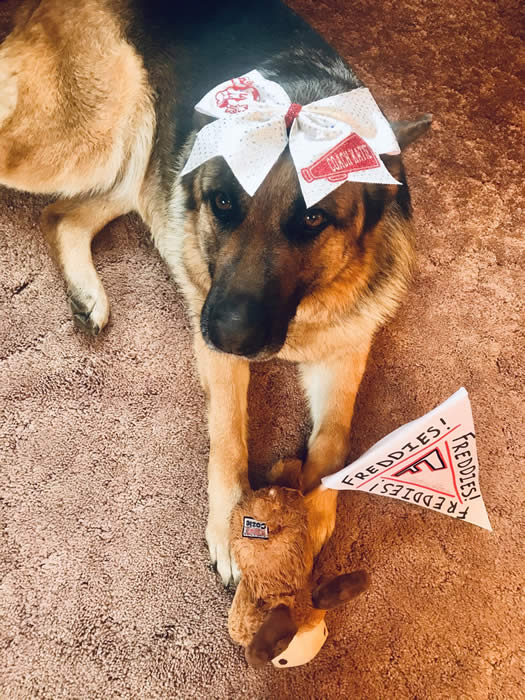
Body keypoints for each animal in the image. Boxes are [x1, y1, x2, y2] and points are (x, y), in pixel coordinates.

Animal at [0, 0, 431, 585]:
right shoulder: (218, 347)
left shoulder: (343, 351)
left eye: (313, 219)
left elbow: (335, 439)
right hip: (95, 139)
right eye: (223, 203)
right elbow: (229, 431)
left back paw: (86, 294)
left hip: (141, 157)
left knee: (61, 215)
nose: (228, 334)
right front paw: (231, 524)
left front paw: (314, 514)